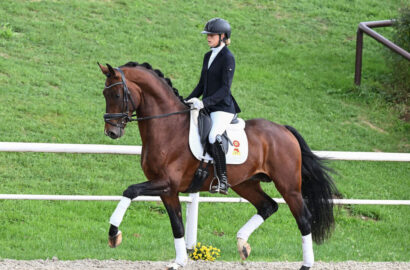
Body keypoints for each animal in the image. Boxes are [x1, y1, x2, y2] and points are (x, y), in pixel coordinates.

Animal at [97, 61, 338, 270]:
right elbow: (177, 225)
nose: (112, 132)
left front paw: (114, 235)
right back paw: (242, 244)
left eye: (117, 94)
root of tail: (285, 130)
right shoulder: (168, 190)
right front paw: (179, 262)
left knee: (303, 219)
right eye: (104, 94)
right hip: (246, 184)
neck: (168, 127)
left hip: (288, 186)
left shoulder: (165, 182)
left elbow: (130, 191)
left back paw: (305, 264)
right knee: (268, 206)